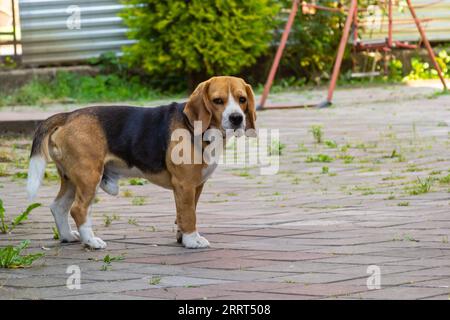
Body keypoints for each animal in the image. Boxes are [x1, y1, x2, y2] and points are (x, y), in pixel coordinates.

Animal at [26, 77, 256, 250]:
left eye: (242, 99)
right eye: (218, 100)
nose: (237, 118)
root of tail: (68, 116)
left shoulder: (195, 186)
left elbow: (183, 213)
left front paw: (183, 237)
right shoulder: (185, 184)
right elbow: (189, 215)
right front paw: (192, 240)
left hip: (72, 178)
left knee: (58, 206)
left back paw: (67, 236)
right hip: (89, 176)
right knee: (78, 209)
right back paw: (92, 241)